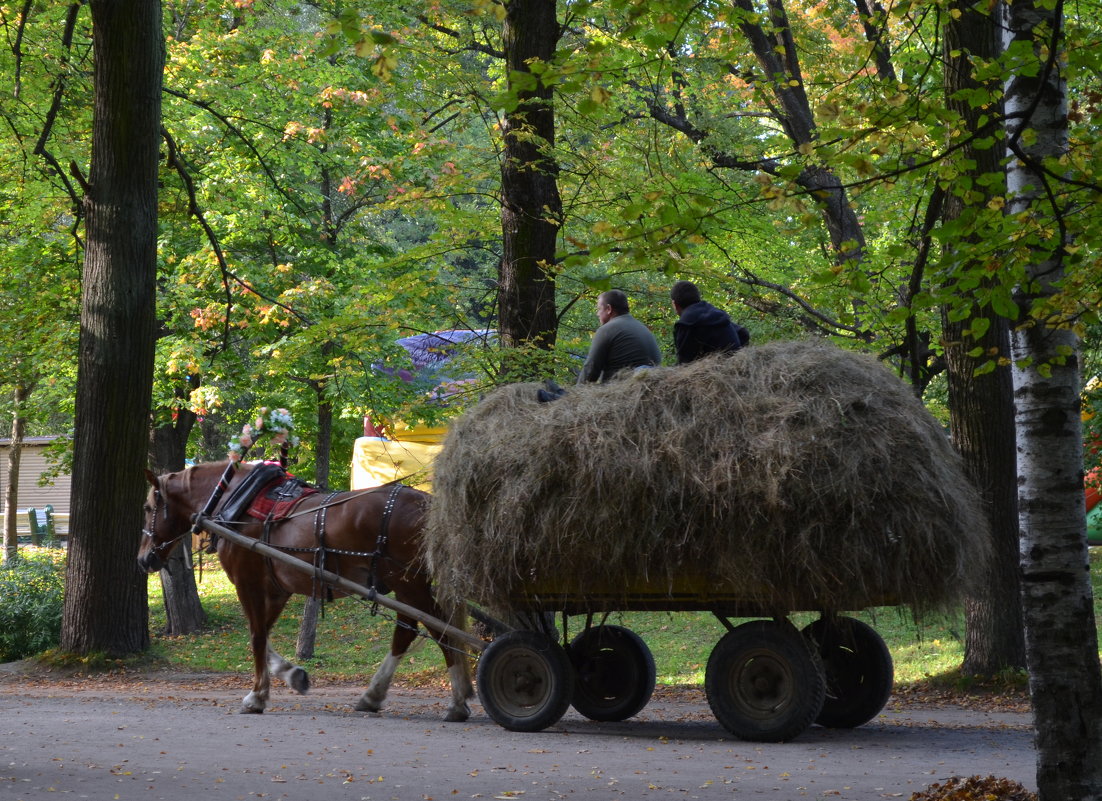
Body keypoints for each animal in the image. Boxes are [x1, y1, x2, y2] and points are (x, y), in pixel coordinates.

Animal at [135, 460, 471, 722]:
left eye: (149, 507)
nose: (143, 559)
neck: (236, 503)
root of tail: (428, 505)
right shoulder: (276, 589)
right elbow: (264, 636)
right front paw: (291, 674)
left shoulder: (248, 582)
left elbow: (256, 636)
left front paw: (257, 696)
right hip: (406, 586)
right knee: (409, 631)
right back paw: (374, 695)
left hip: (408, 582)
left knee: (441, 630)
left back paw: (456, 702)